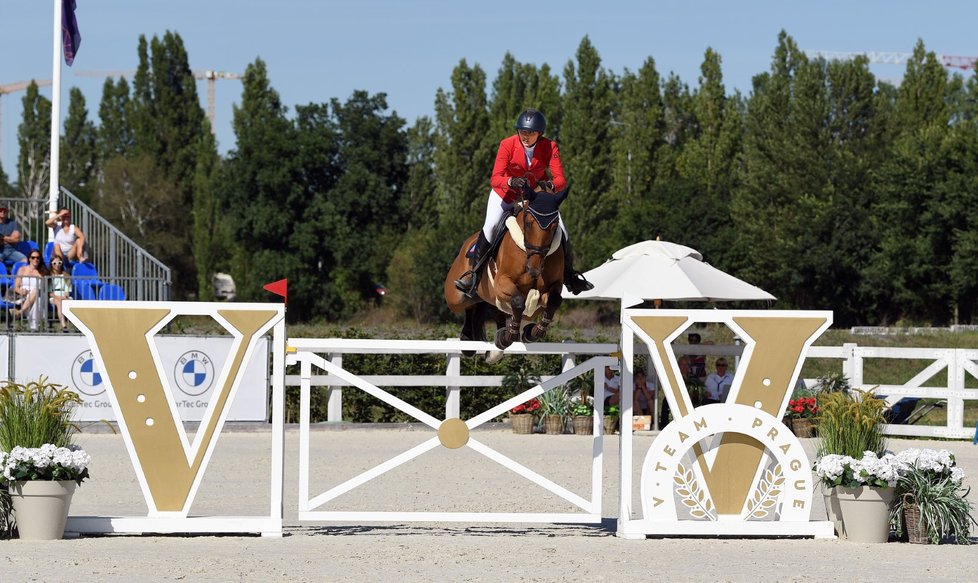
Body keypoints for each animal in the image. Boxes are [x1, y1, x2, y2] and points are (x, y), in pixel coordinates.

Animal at [440, 188, 564, 360]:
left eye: (555, 226)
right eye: (528, 223)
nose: (534, 269)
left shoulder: (554, 285)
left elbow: (554, 300)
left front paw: (532, 332)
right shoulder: (502, 282)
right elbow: (518, 301)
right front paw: (509, 336)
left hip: (487, 299)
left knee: (489, 311)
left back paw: (489, 347)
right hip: (456, 298)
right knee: (470, 306)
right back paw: (469, 341)